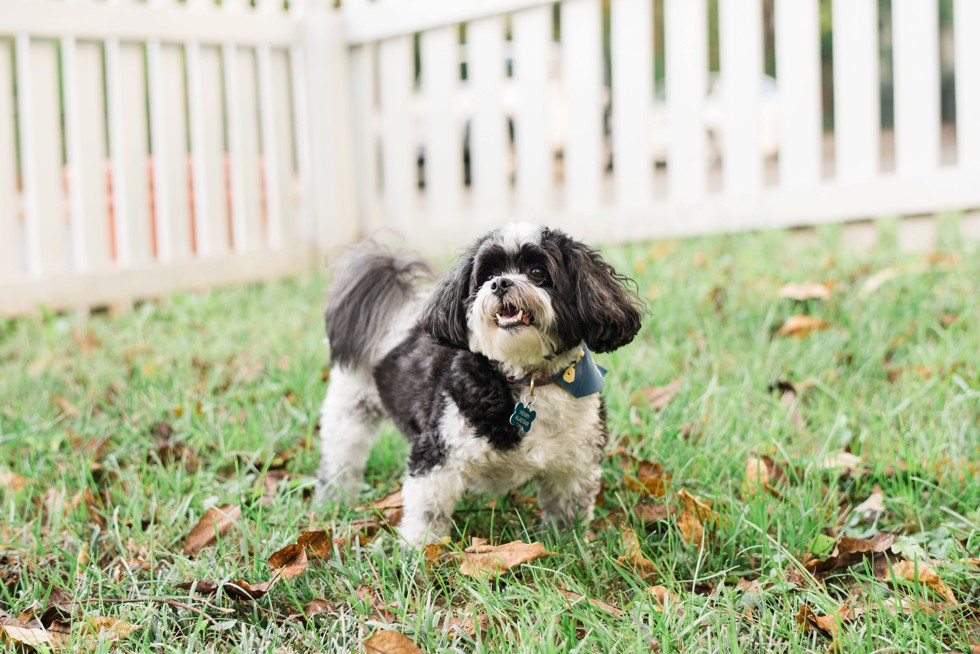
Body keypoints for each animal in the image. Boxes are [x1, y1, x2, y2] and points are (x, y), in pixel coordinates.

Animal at [314, 223, 644, 544]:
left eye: (538, 272)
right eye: (487, 276)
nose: (500, 284)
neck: (526, 376)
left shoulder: (574, 465)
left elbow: (567, 515)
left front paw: (567, 548)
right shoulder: (437, 454)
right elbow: (427, 514)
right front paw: (420, 554)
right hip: (350, 409)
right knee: (341, 459)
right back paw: (334, 500)